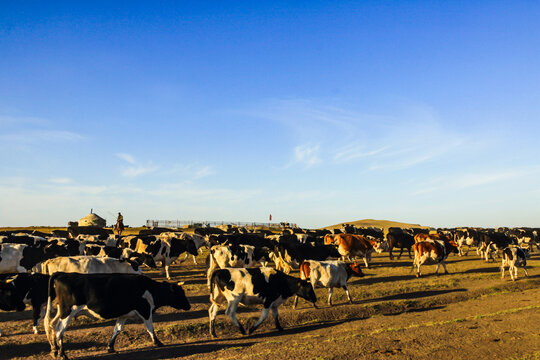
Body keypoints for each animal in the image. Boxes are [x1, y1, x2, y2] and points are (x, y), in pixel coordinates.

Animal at [44, 272, 192, 360]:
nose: (189, 306)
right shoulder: (145, 310)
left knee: (51, 325)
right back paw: (62, 354)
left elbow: (118, 329)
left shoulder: (123, 315)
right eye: (180, 293)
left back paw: (55, 350)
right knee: (59, 330)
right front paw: (158, 342)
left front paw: (110, 347)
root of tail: (63, 274)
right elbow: (150, 328)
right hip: (68, 312)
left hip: (61, 311)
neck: (150, 289)